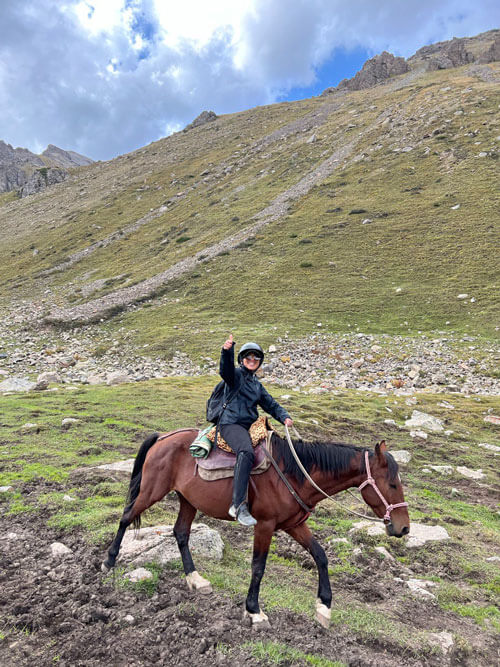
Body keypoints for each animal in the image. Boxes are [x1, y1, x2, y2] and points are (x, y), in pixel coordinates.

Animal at [102, 430, 410, 628]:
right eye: (392, 484)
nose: (404, 528)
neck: (295, 474)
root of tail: (162, 438)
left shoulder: (294, 524)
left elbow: (320, 556)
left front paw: (324, 607)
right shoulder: (265, 525)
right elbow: (258, 566)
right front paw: (254, 611)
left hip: (188, 500)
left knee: (181, 533)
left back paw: (195, 579)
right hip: (151, 491)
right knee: (126, 517)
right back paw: (109, 561)